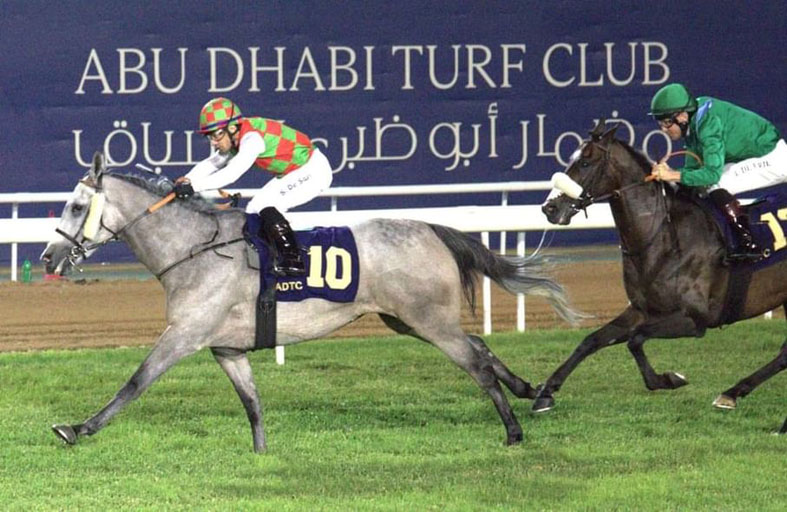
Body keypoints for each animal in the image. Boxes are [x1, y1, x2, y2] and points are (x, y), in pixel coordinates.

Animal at [41, 152, 581, 452]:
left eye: (75, 205)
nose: (47, 256)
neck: (194, 249)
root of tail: (432, 228)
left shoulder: (184, 335)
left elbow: (135, 382)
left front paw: (77, 428)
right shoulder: (227, 349)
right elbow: (253, 403)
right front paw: (262, 454)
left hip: (428, 320)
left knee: (477, 365)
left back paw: (513, 432)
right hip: (407, 319)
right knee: (481, 348)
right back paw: (533, 391)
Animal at [537, 120, 787, 432]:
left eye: (585, 161)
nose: (550, 208)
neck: (663, 236)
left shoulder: (695, 319)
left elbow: (635, 339)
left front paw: (669, 379)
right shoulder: (642, 309)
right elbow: (592, 340)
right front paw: (545, 392)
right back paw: (734, 394)